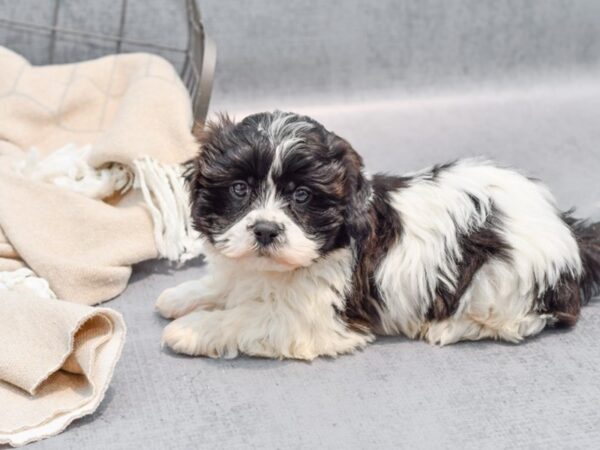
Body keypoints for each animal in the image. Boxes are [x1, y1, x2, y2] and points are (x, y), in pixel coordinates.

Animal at [156, 111, 600, 358]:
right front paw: (183, 297)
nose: (265, 229)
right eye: (239, 190)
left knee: (528, 319)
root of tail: (566, 230)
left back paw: (449, 328)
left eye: (302, 196)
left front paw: (192, 329)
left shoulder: (313, 318)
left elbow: (248, 315)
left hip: (503, 280)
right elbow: (227, 286)